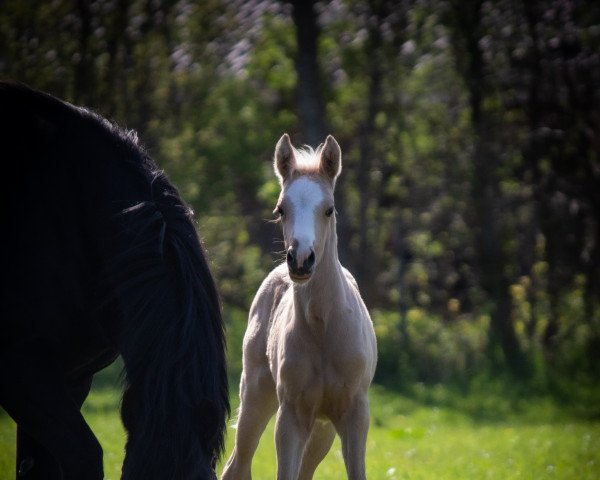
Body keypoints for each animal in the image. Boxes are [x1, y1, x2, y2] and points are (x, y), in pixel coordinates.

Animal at [223, 134, 378, 480]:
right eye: (281, 209)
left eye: (329, 210)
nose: (301, 259)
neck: (324, 328)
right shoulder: (290, 414)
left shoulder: (355, 413)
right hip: (256, 395)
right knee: (237, 465)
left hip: (322, 428)